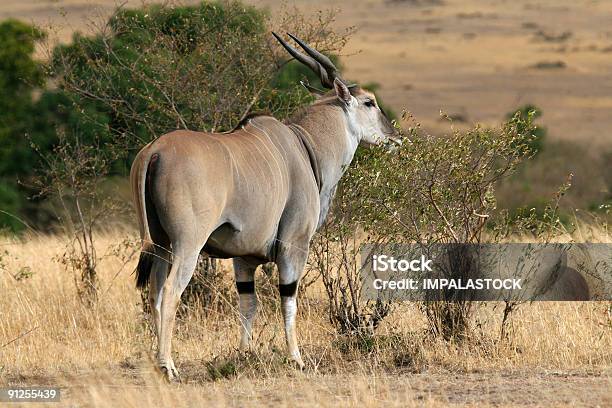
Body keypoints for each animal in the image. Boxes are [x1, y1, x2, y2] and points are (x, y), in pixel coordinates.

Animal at [131, 31, 396, 380]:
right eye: (369, 102)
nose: (393, 135)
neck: (305, 145)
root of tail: (155, 151)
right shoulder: (293, 246)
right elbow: (288, 300)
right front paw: (296, 358)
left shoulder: (243, 258)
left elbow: (249, 304)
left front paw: (243, 355)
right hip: (187, 245)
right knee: (173, 292)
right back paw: (168, 365)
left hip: (161, 245)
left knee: (156, 293)